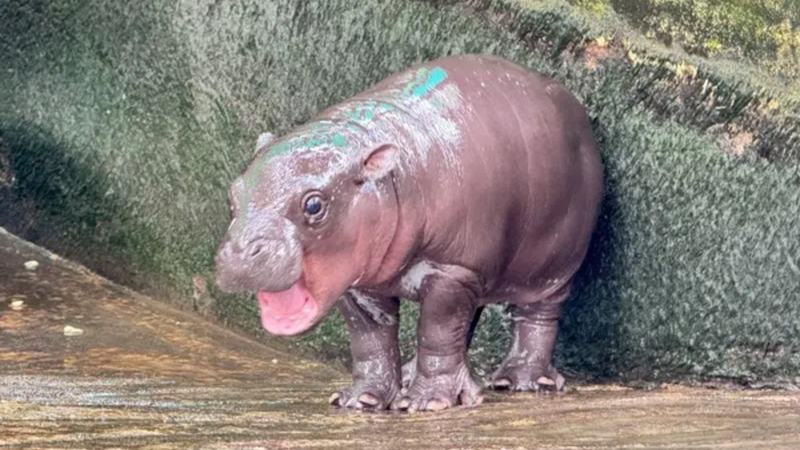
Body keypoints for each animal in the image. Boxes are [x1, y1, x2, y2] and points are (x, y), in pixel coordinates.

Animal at [216, 52, 604, 412]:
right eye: (233, 195)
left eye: (314, 205)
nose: (239, 252)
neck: (386, 168)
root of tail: (565, 96)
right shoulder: (361, 281)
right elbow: (371, 339)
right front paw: (361, 399)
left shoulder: (451, 269)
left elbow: (437, 332)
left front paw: (429, 402)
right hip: (480, 270)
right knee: (466, 323)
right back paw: (412, 376)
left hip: (552, 263)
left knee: (535, 315)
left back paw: (521, 380)